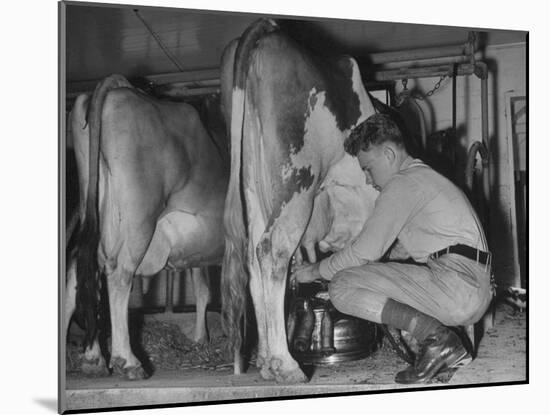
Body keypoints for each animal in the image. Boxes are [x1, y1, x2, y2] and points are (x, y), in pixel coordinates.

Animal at [66, 76, 230, 382]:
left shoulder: (198, 252)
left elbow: (203, 290)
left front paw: (201, 338)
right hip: (139, 217)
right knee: (119, 273)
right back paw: (128, 361)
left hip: (96, 208)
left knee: (79, 275)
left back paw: (93, 358)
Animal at [220, 19, 380, 384]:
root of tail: (269, 30)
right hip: (297, 180)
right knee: (273, 250)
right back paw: (286, 364)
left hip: (254, 186)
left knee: (254, 258)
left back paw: (266, 361)